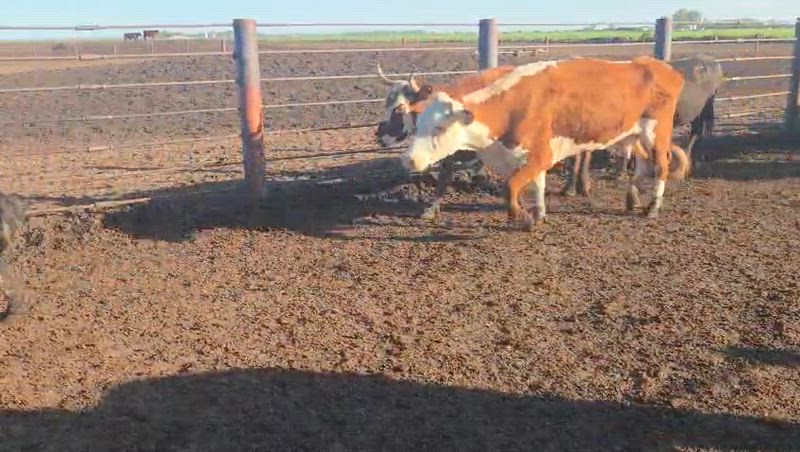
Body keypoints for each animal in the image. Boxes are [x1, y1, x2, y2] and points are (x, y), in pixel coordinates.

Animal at [403, 57, 689, 230]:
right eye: (418, 124)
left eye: (439, 127)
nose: (410, 160)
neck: (512, 106)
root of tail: (663, 67)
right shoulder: (527, 155)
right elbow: (536, 184)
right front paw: (539, 214)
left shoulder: (542, 154)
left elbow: (511, 186)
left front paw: (524, 218)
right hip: (635, 134)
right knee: (643, 164)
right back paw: (632, 199)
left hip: (657, 133)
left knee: (661, 167)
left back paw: (653, 207)